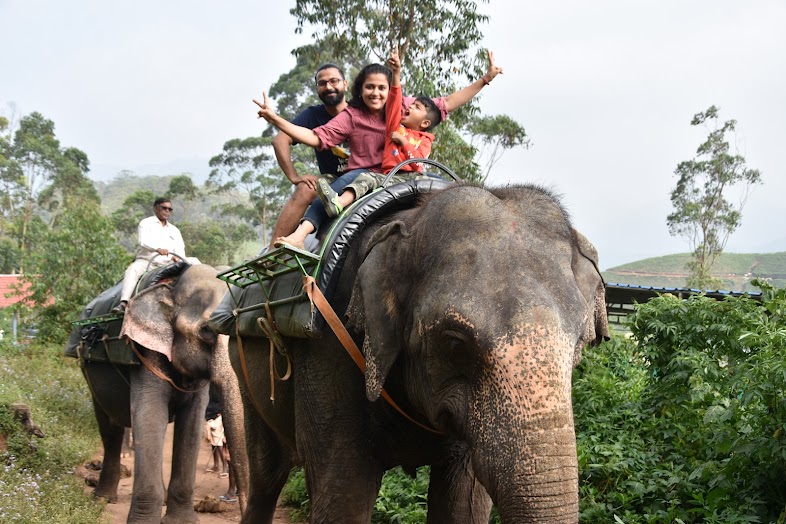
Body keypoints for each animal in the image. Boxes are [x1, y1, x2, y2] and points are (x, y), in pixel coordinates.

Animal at [71, 266, 248, 524]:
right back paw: (103, 498)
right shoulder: (145, 352)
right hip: (90, 372)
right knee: (109, 425)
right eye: (206, 330)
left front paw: (181, 521)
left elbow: (191, 423)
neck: (171, 287)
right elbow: (150, 414)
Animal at [227, 182, 608, 520]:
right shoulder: (329, 347)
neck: (410, 219)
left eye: (580, 344)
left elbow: (464, 504)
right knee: (266, 477)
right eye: (455, 343)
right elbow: (343, 496)